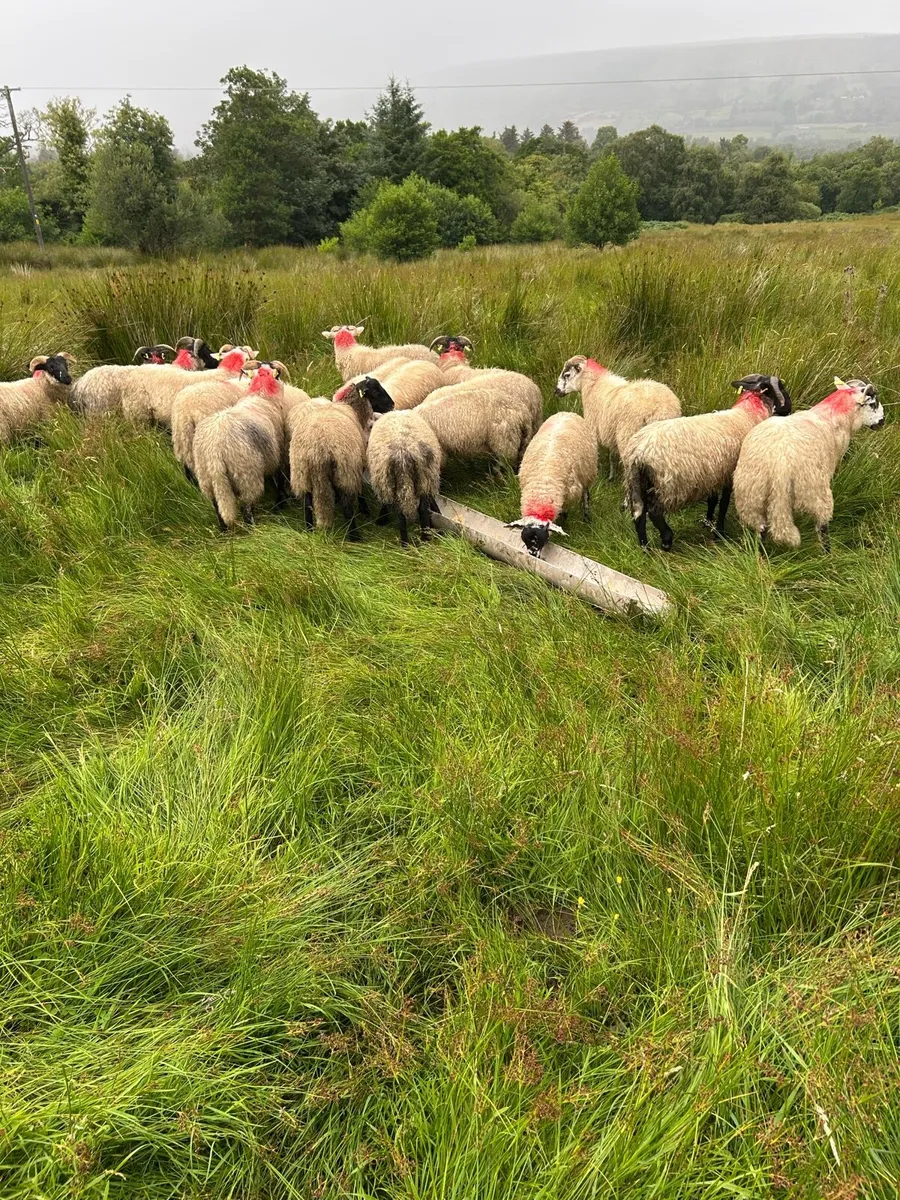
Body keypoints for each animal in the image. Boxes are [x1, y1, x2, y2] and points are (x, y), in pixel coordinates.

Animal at [193, 361, 292, 530]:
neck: (260, 395)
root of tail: (214, 452)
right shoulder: (277, 454)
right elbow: (279, 480)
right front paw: (280, 504)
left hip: (206, 478)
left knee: (218, 508)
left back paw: (224, 531)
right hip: (246, 474)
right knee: (247, 508)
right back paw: (252, 530)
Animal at [360, 377, 442, 547]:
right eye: (376, 392)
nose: (391, 404)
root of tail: (404, 452)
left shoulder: (383, 480)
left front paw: (382, 518)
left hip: (394, 481)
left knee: (401, 513)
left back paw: (405, 544)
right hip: (424, 476)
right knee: (423, 508)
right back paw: (424, 538)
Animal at [505, 411, 598, 558]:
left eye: (542, 538)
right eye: (525, 538)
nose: (533, 554)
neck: (542, 492)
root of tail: (567, 413)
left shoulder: (567, 496)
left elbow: (564, 513)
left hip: (588, 471)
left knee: (586, 494)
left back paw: (586, 516)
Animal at [623, 374, 792, 551]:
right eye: (781, 387)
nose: (789, 409)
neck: (748, 415)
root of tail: (638, 452)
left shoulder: (714, 473)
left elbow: (713, 500)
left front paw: (709, 521)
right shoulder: (729, 474)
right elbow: (724, 504)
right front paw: (719, 533)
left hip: (636, 481)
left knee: (638, 514)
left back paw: (645, 548)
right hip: (666, 484)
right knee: (654, 513)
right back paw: (666, 540)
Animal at [734, 377, 885, 551]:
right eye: (872, 403)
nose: (882, 421)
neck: (834, 415)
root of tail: (779, 467)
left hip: (750, 497)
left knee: (761, 530)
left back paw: (760, 557)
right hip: (814, 491)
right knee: (822, 526)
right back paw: (827, 553)